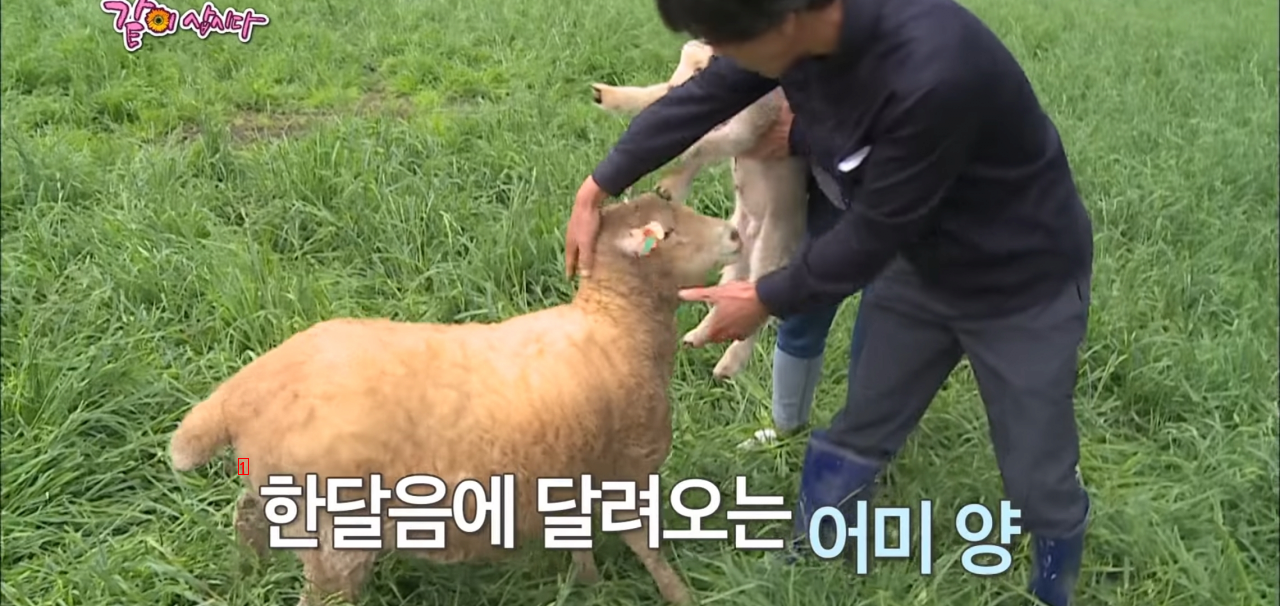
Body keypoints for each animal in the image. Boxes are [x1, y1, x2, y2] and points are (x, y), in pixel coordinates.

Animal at [175, 185, 747, 604]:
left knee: (246, 518)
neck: (617, 323)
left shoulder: (577, 471)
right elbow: (647, 548)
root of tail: (242, 394)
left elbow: (580, 537)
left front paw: (587, 585)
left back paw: (246, 575)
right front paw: (680, 596)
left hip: (276, 493)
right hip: (334, 533)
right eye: (667, 234)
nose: (736, 232)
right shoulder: (626, 468)